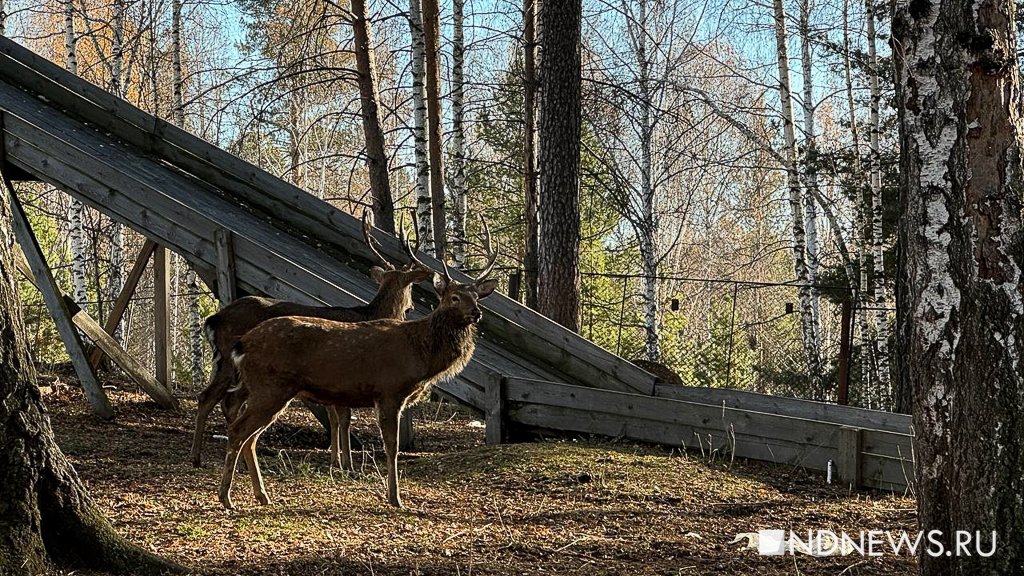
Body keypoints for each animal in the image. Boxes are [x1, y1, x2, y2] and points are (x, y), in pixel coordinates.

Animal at [188, 211, 428, 467]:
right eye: (411, 287)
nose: (411, 307)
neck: (371, 313)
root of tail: (213, 319)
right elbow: (343, 417)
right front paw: (347, 464)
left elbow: (335, 416)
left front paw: (335, 459)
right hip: (236, 365)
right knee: (221, 400)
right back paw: (222, 458)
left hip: (224, 363)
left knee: (210, 397)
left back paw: (202, 457)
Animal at [220, 219, 499, 506]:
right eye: (454, 297)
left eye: (476, 297)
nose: (476, 313)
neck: (421, 355)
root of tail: (242, 344)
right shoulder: (390, 390)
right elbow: (391, 446)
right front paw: (394, 497)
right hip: (270, 387)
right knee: (238, 429)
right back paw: (226, 497)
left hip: (270, 390)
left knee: (250, 436)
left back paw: (262, 495)